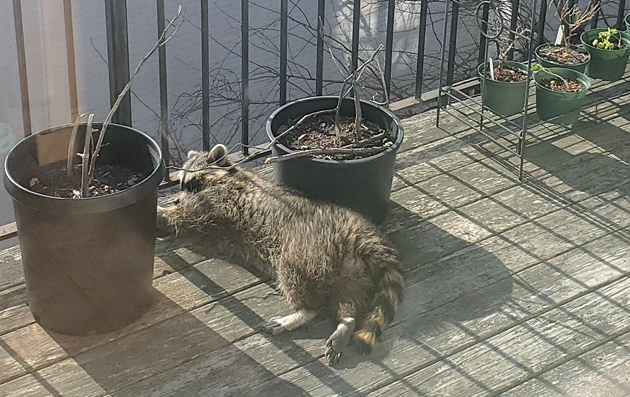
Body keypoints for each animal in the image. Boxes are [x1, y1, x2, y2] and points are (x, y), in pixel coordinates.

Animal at [158, 144, 404, 364]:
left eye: (193, 183)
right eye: (180, 183)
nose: (176, 199)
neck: (228, 177)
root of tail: (361, 233)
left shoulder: (219, 202)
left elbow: (187, 216)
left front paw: (162, 212)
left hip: (307, 248)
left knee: (293, 275)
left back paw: (302, 312)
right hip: (351, 271)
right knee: (349, 299)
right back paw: (347, 320)